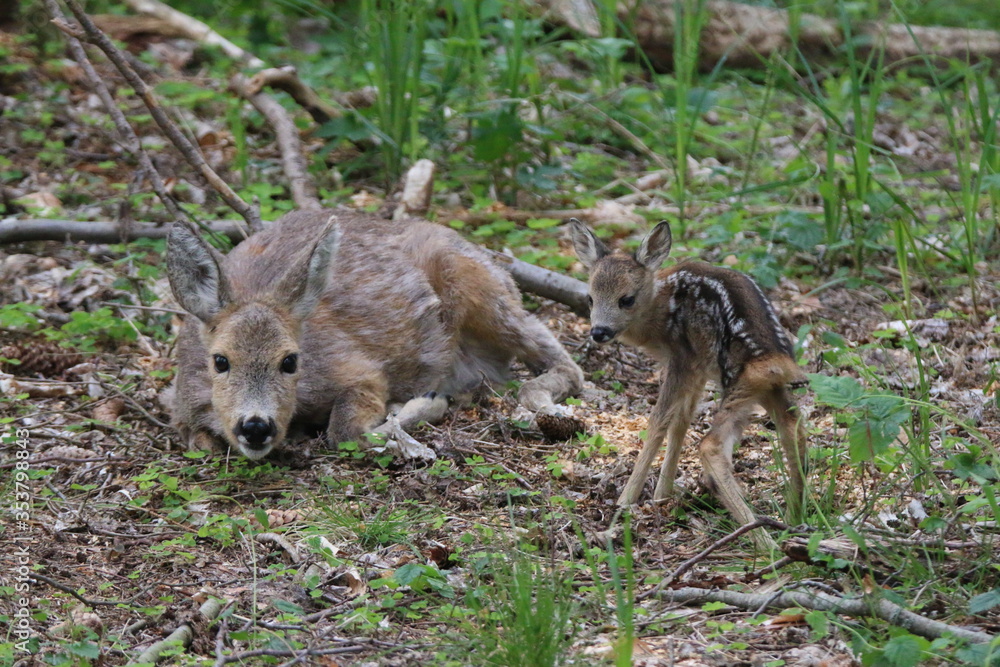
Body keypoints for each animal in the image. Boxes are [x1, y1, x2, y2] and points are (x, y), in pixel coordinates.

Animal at [167, 211, 584, 462]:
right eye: (220, 360)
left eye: (290, 360)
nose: (255, 426)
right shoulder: (183, 409)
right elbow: (199, 443)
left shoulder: (361, 372)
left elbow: (345, 431)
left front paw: (418, 411)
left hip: (478, 288)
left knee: (560, 359)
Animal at [568, 219, 808, 544]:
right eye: (590, 297)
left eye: (626, 299)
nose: (599, 332)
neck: (659, 312)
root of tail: (772, 360)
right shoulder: (699, 367)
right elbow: (681, 421)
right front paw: (662, 495)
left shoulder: (682, 357)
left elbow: (659, 421)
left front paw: (627, 501)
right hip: (766, 388)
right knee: (793, 426)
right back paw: (793, 521)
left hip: (738, 384)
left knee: (711, 445)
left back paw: (764, 540)